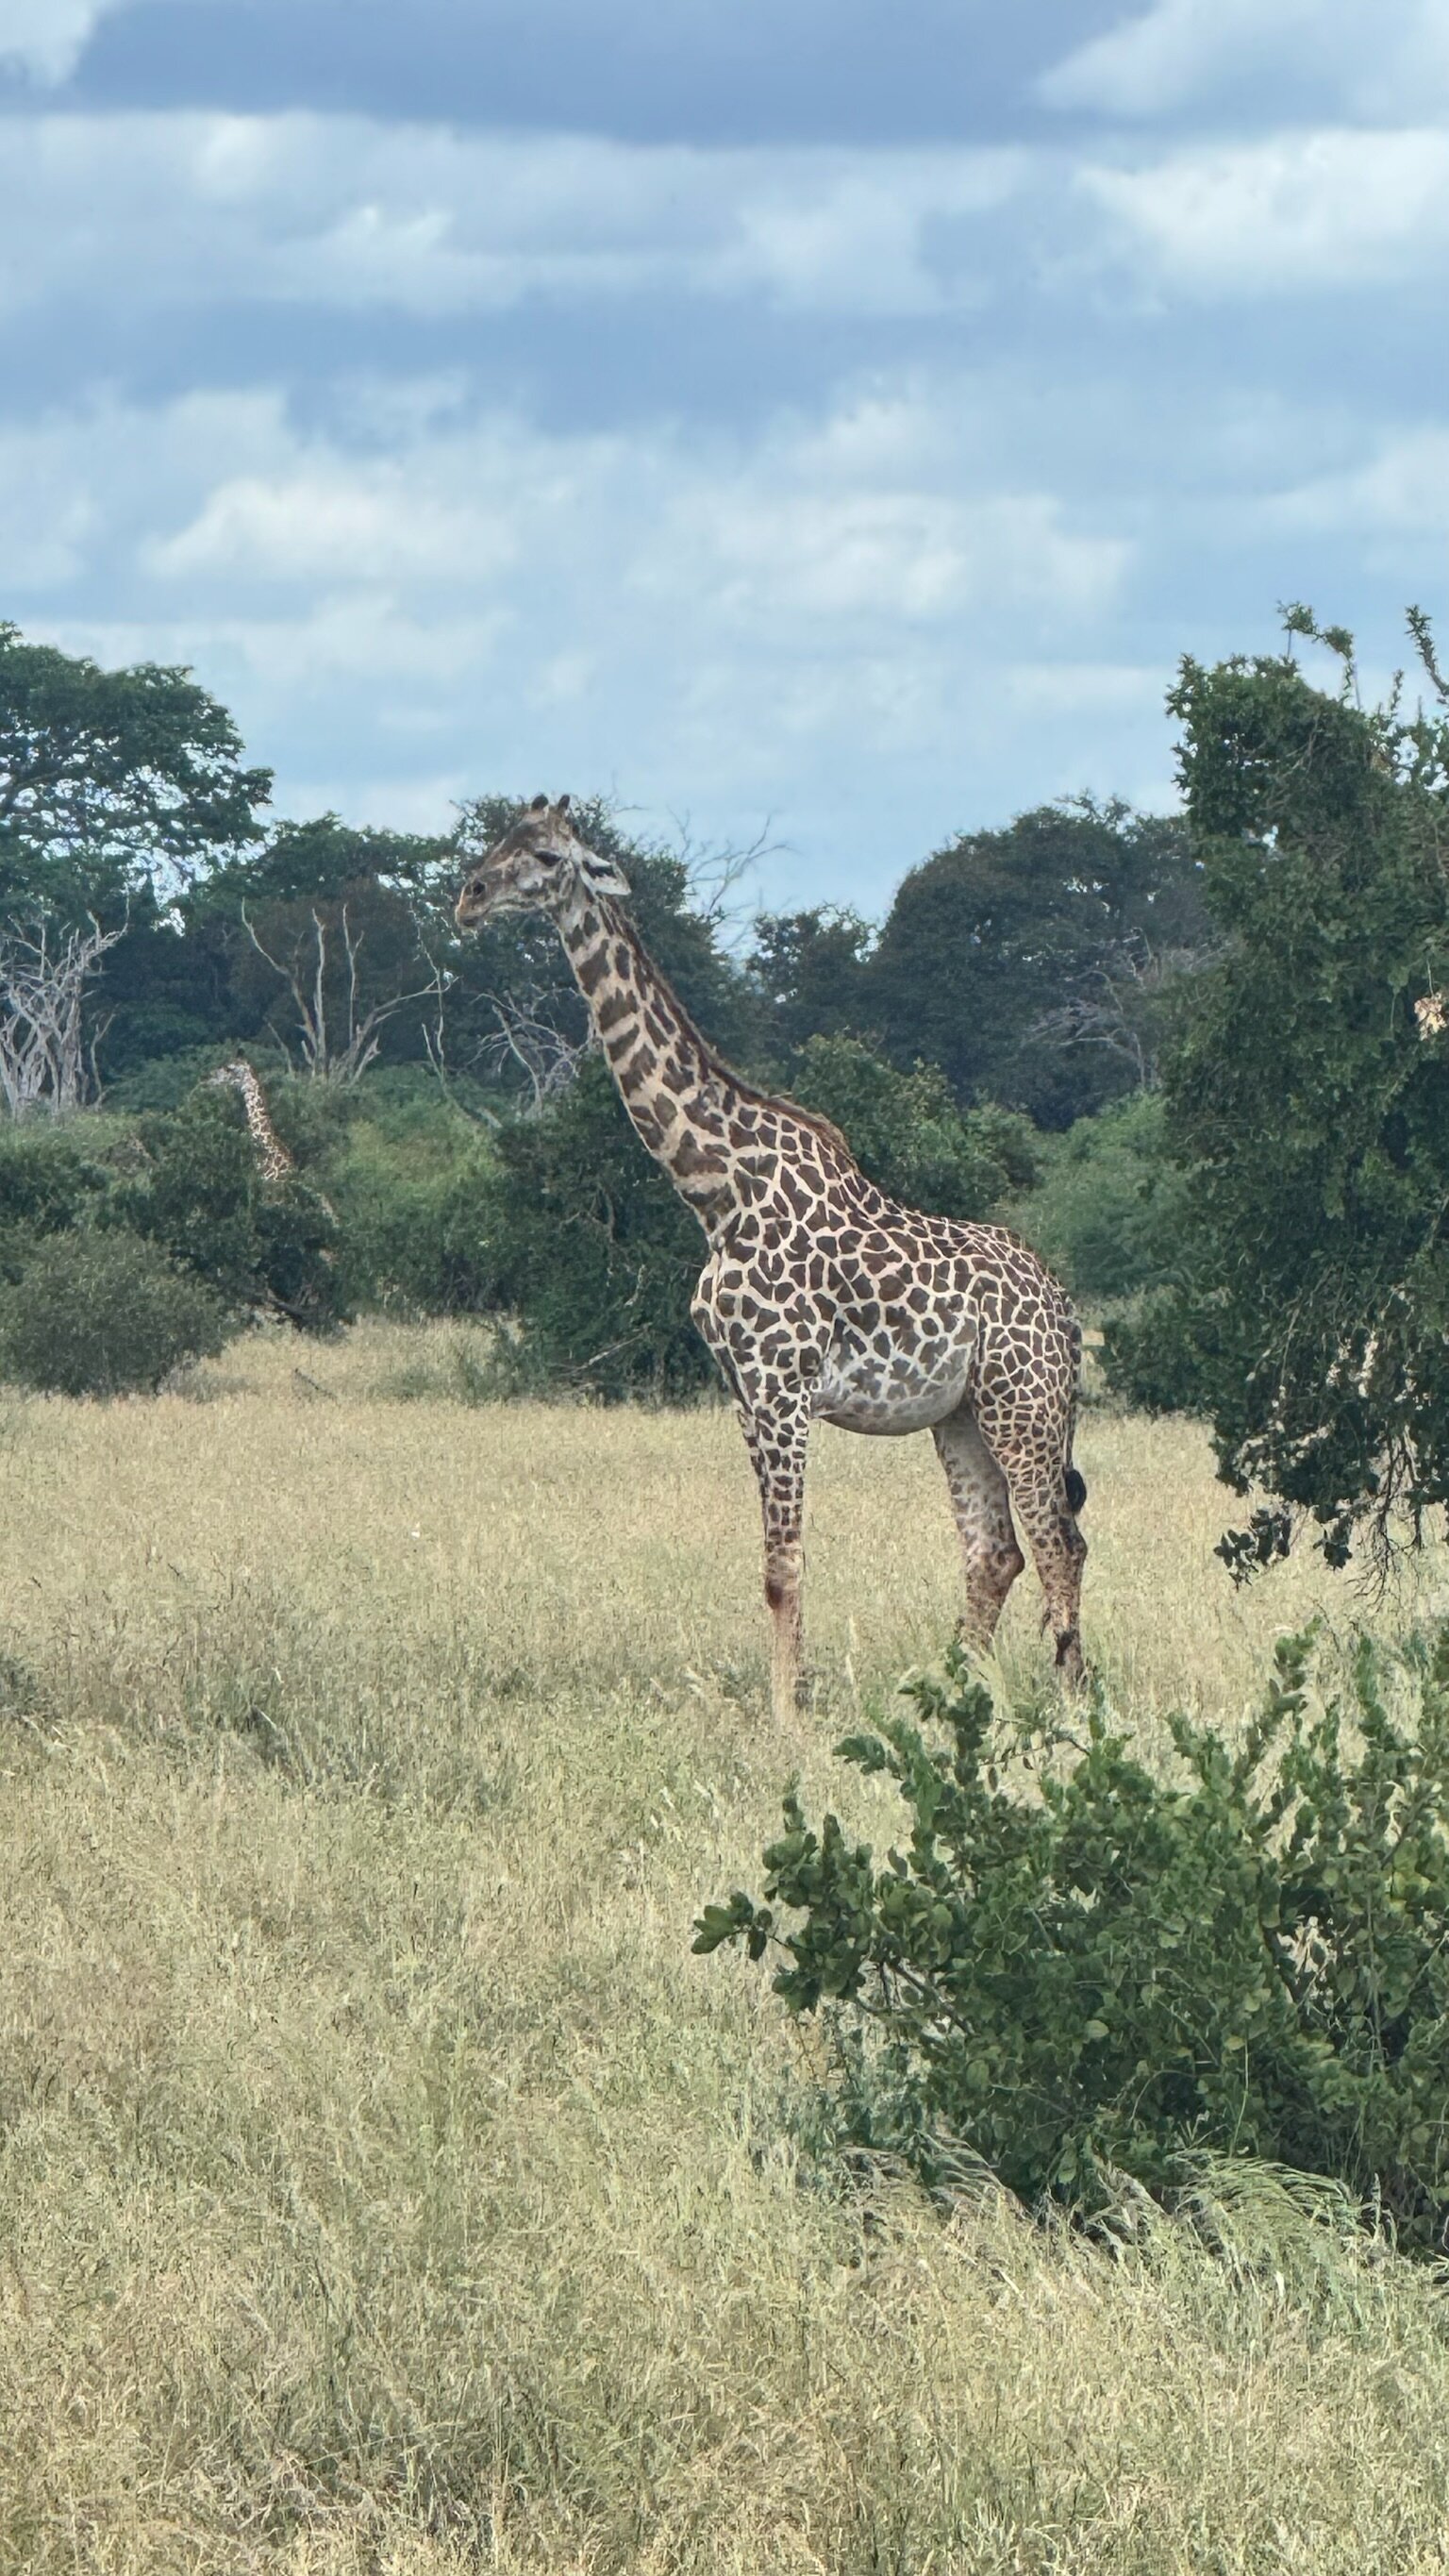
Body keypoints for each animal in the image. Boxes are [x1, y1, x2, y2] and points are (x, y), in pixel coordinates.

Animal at [456, 798, 1087, 1724]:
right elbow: (771, 1564)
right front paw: (792, 1701)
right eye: (496, 839)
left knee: (1057, 1544)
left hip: (1024, 1409)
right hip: (960, 1414)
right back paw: (955, 1698)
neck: (717, 1189)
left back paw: (1073, 1702)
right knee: (995, 1550)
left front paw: (787, 1719)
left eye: (542, 855)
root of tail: (1065, 1308)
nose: (467, 898)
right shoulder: (742, 1392)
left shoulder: (784, 1388)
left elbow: (785, 1565)